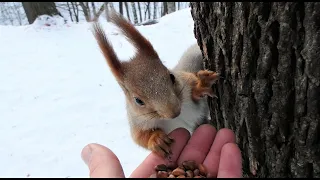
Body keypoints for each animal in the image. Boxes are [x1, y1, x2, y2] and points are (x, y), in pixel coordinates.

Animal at [91, 11, 219, 158]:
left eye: (171, 76)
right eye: (138, 100)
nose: (174, 112)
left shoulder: (185, 82)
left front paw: (201, 85)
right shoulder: (137, 121)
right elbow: (138, 136)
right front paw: (156, 139)